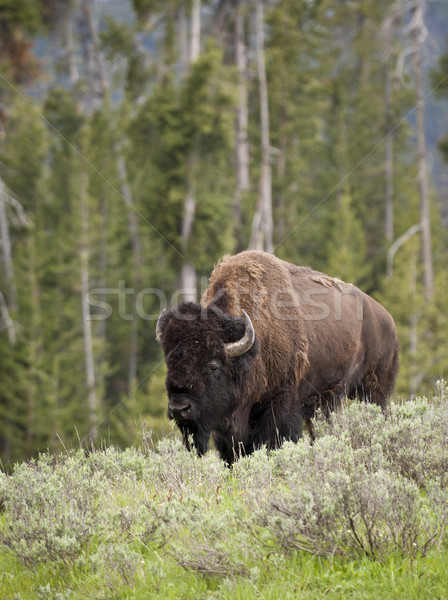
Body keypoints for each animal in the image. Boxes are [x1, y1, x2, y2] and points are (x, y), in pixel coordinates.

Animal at [157, 248, 400, 464]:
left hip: (374, 392)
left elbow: (274, 442)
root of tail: (387, 318)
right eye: (170, 362)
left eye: (214, 366)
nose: (179, 408)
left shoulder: (281, 404)